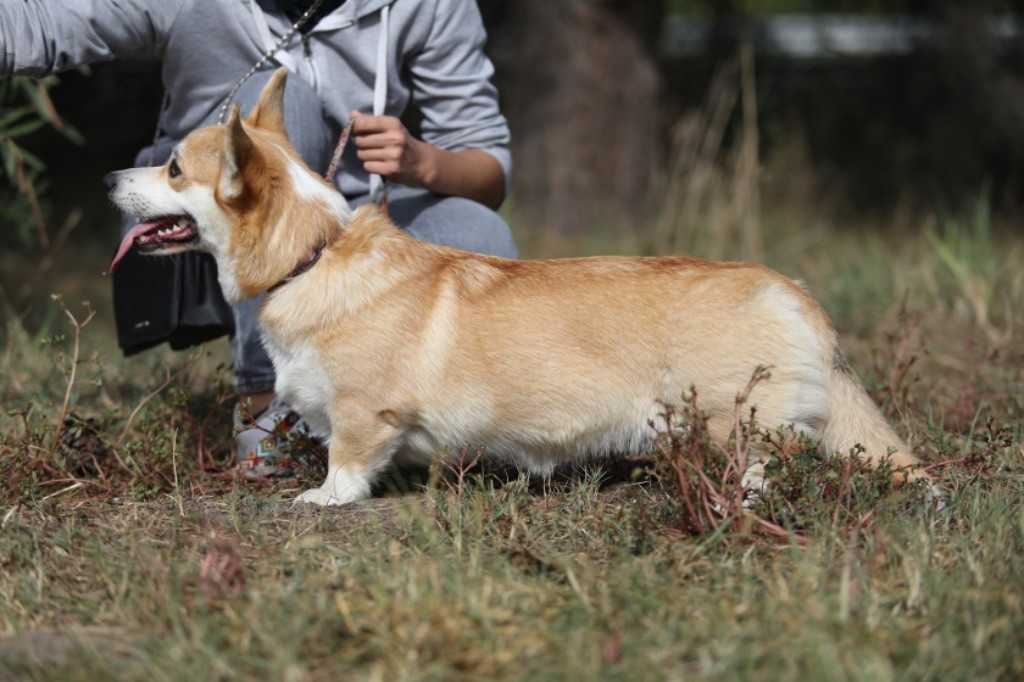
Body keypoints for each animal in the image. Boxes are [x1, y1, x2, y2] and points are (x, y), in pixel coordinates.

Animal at [105, 69, 929, 503]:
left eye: (173, 168)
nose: (110, 178)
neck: (315, 255)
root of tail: (794, 292)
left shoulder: (364, 412)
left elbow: (348, 461)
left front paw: (324, 499)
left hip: (735, 423)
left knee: (761, 468)